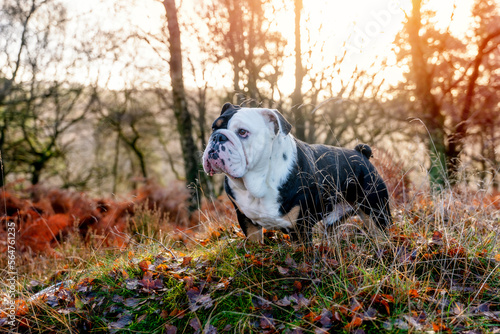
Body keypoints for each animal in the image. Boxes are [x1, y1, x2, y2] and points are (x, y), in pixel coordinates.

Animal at [202, 103, 390, 244]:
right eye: (213, 128)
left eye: (242, 132)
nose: (218, 137)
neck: (258, 180)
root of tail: (361, 154)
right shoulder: (247, 221)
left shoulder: (301, 226)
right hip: (333, 221)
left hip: (377, 212)